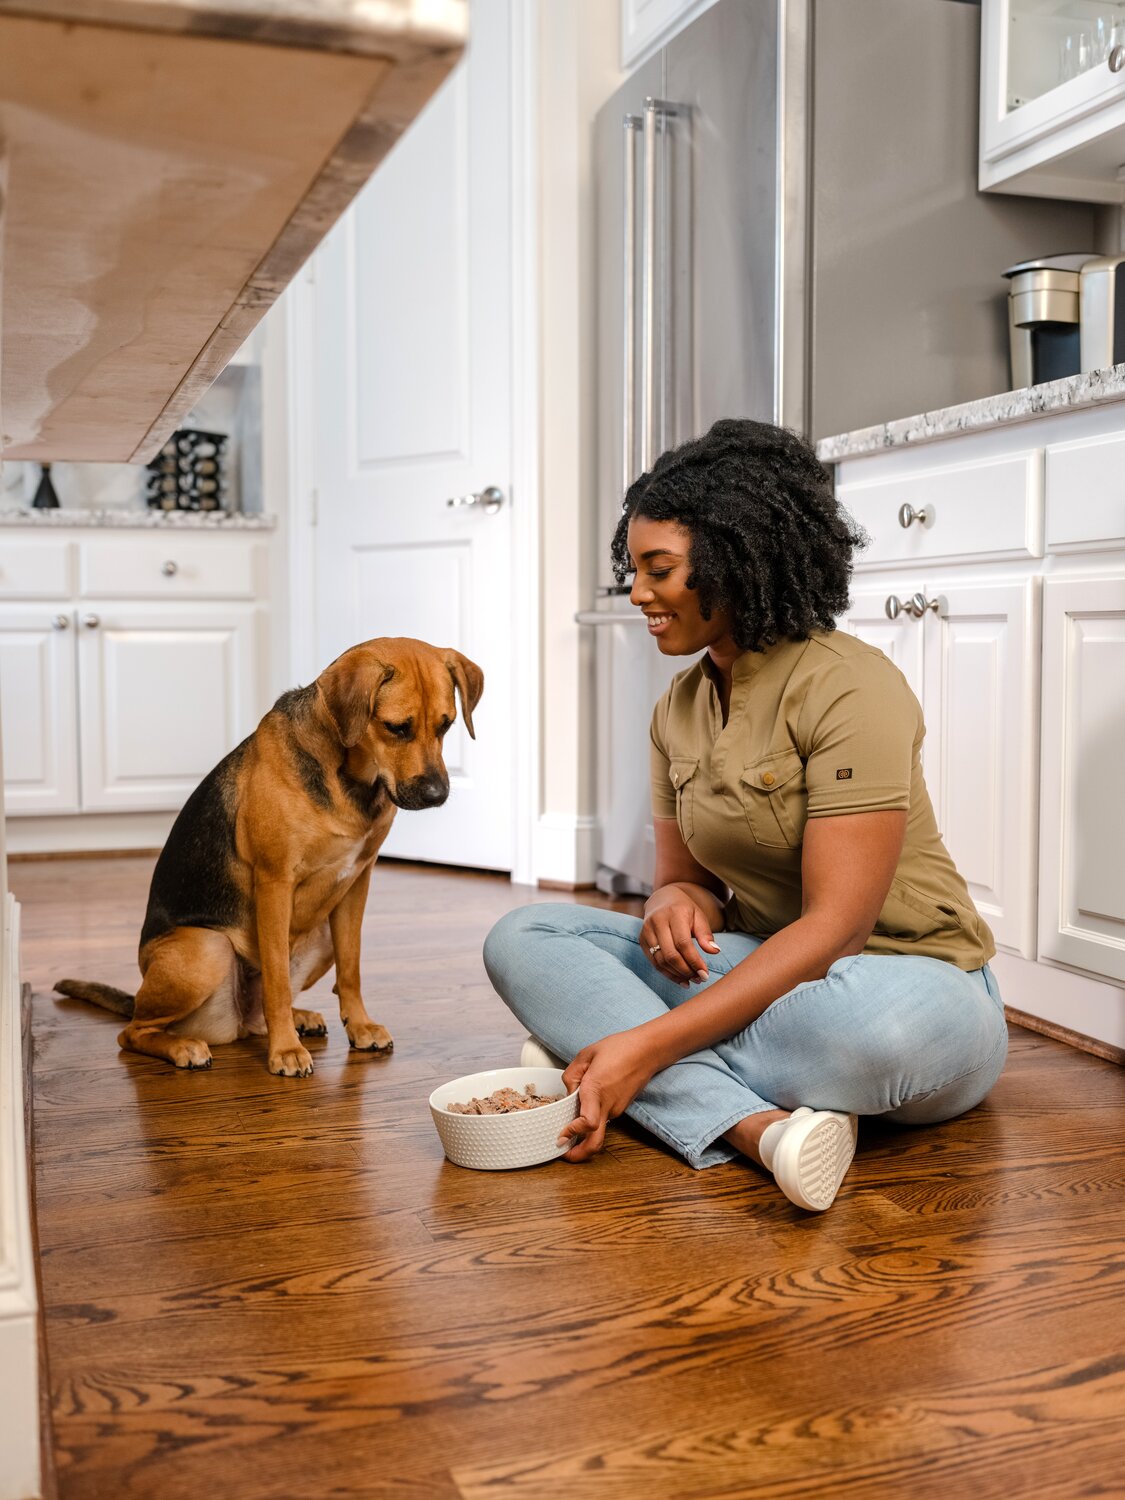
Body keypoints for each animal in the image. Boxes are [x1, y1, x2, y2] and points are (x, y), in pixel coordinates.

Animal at [55, 639, 486, 1074]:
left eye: (447, 725)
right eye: (396, 728)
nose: (437, 795)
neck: (350, 778)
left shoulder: (356, 882)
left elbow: (351, 969)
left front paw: (360, 1025)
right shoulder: (275, 882)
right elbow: (276, 982)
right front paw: (285, 1051)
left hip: (320, 937)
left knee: (257, 1014)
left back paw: (299, 1018)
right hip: (206, 951)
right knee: (133, 1031)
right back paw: (184, 1046)